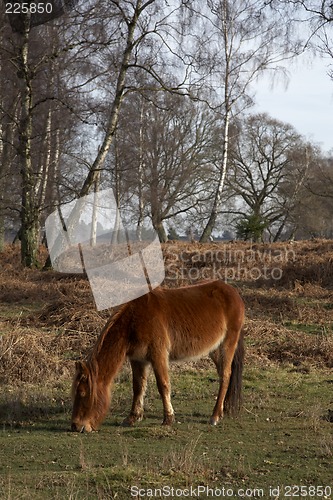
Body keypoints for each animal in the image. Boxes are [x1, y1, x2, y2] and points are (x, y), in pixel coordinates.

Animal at [71, 280, 245, 432]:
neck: (134, 320)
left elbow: (163, 385)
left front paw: (168, 419)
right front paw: (132, 417)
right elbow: (138, 387)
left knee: (225, 376)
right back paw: (222, 411)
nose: (75, 426)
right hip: (214, 350)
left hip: (227, 345)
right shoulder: (137, 360)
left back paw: (214, 416)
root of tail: (233, 293)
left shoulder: (158, 356)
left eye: (83, 393)